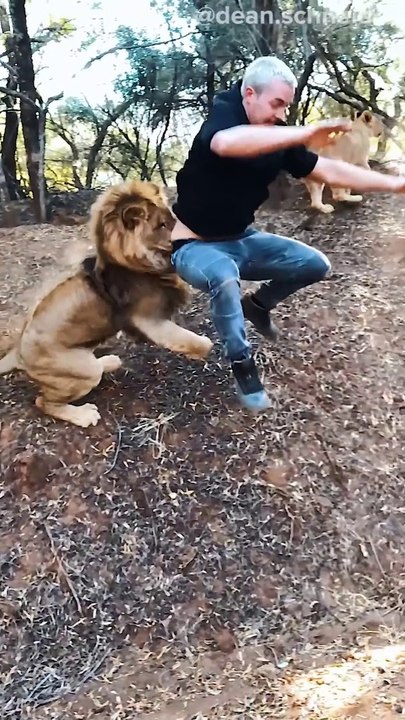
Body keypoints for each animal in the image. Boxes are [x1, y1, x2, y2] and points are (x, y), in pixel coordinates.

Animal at [0, 179, 213, 427]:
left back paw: (110, 362)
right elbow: (190, 340)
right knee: (43, 402)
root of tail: (17, 353)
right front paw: (206, 347)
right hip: (81, 370)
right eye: (161, 225)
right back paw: (84, 415)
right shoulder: (149, 321)